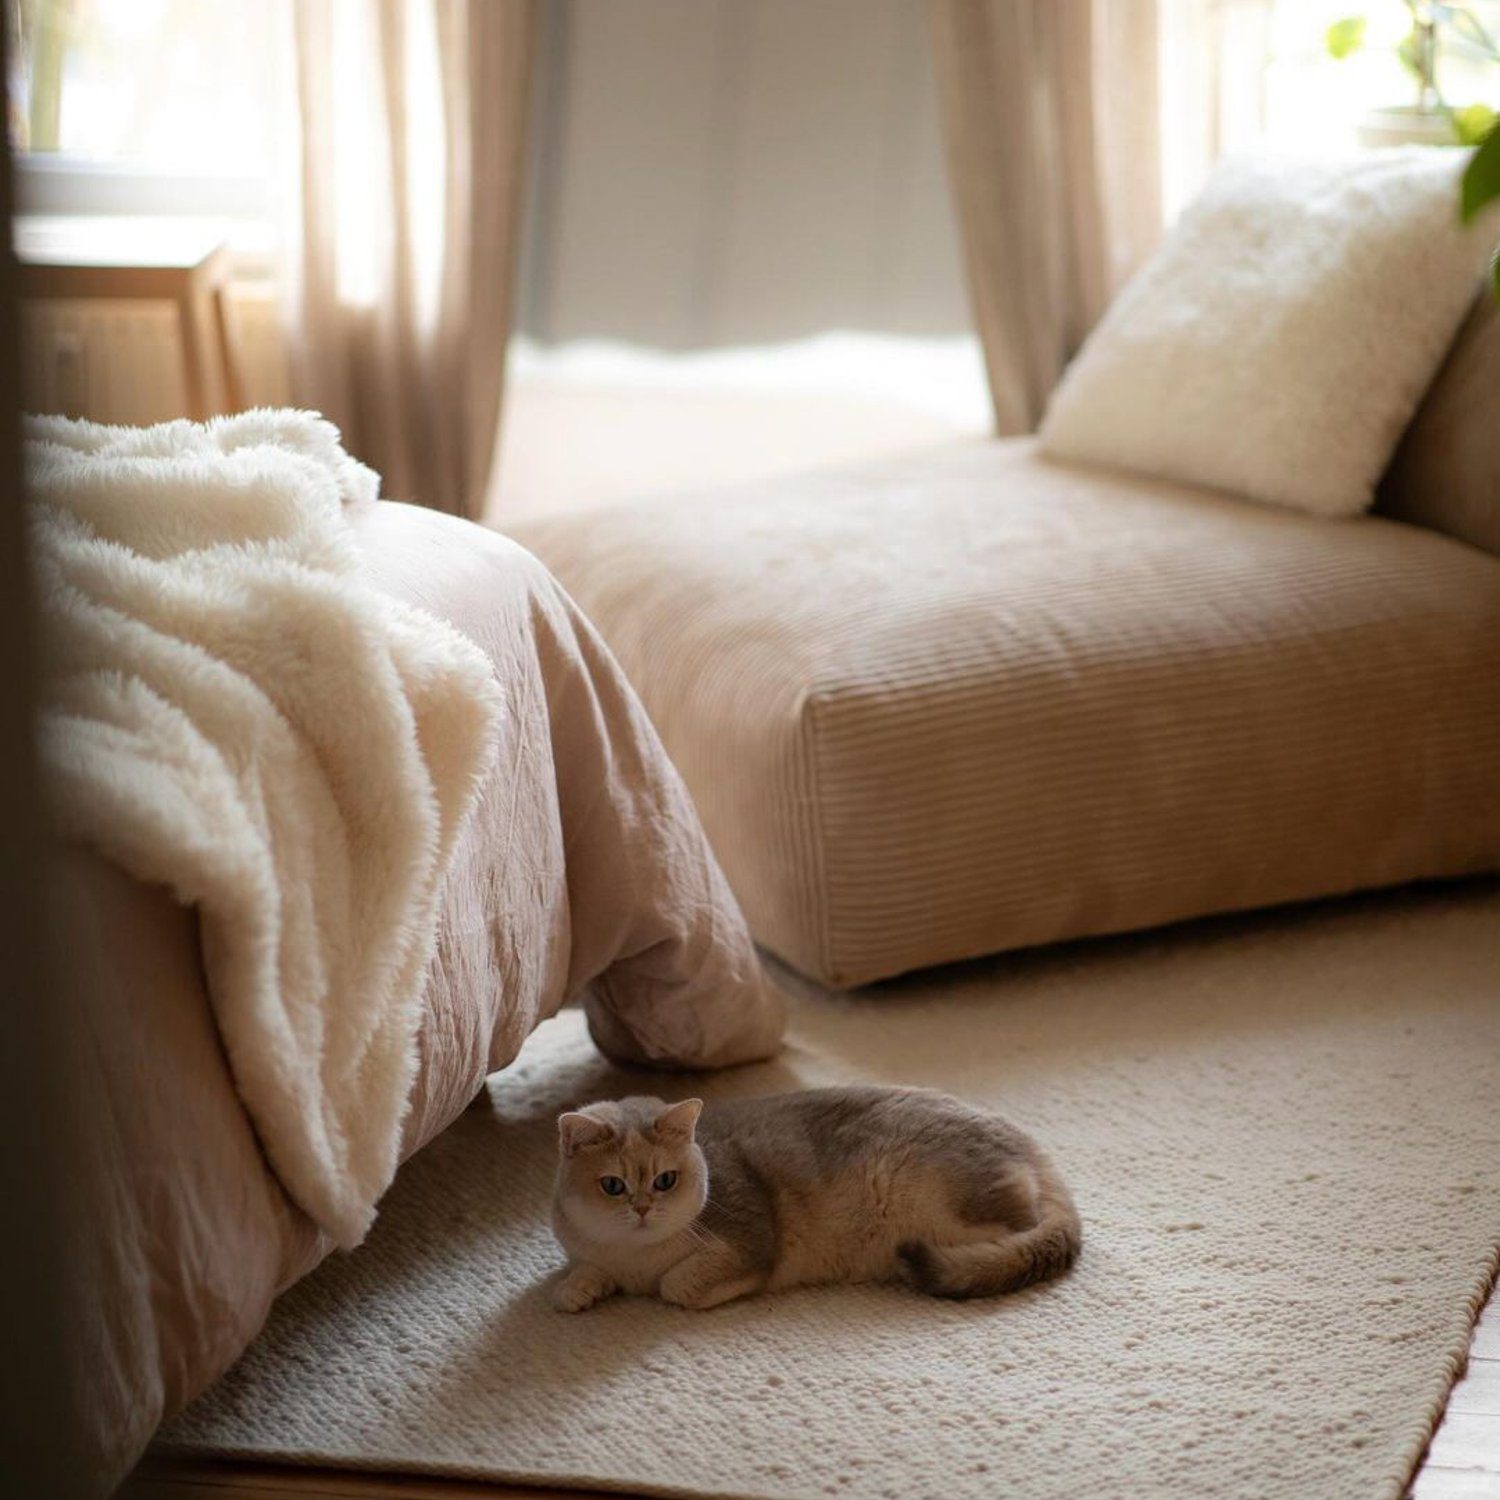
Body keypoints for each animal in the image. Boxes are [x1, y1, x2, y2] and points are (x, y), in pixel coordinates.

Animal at [552, 1092, 1080, 1314]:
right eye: (613, 1186)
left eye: (665, 1180)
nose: (642, 1209)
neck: (635, 1257)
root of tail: (1029, 1143)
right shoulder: (586, 1252)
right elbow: (579, 1275)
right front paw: (580, 1290)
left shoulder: (748, 1243)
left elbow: (676, 1285)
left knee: (1024, 1226)